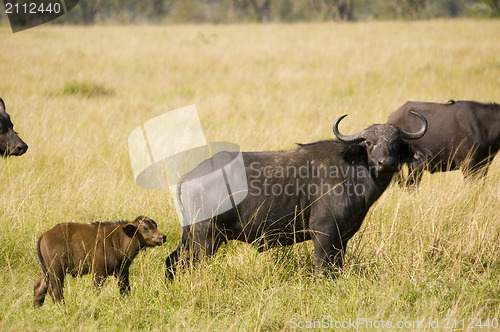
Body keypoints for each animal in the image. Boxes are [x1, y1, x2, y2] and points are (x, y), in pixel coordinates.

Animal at [33, 215, 166, 306]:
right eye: (146, 228)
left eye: (155, 225)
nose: (163, 237)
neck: (120, 239)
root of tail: (44, 235)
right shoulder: (99, 272)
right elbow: (96, 290)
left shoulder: (122, 272)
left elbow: (126, 290)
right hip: (56, 270)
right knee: (56, 289)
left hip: (47, 270)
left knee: (39, 286)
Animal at [166, 113, 428, 278]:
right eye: (370, 142)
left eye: (396, 143)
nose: (386, 163)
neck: (353, 170)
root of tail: (190, 175)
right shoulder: (323, 233)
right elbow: (321, 268)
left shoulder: (343, 238)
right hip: (206, 237)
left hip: (191, 236)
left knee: (173, 260)